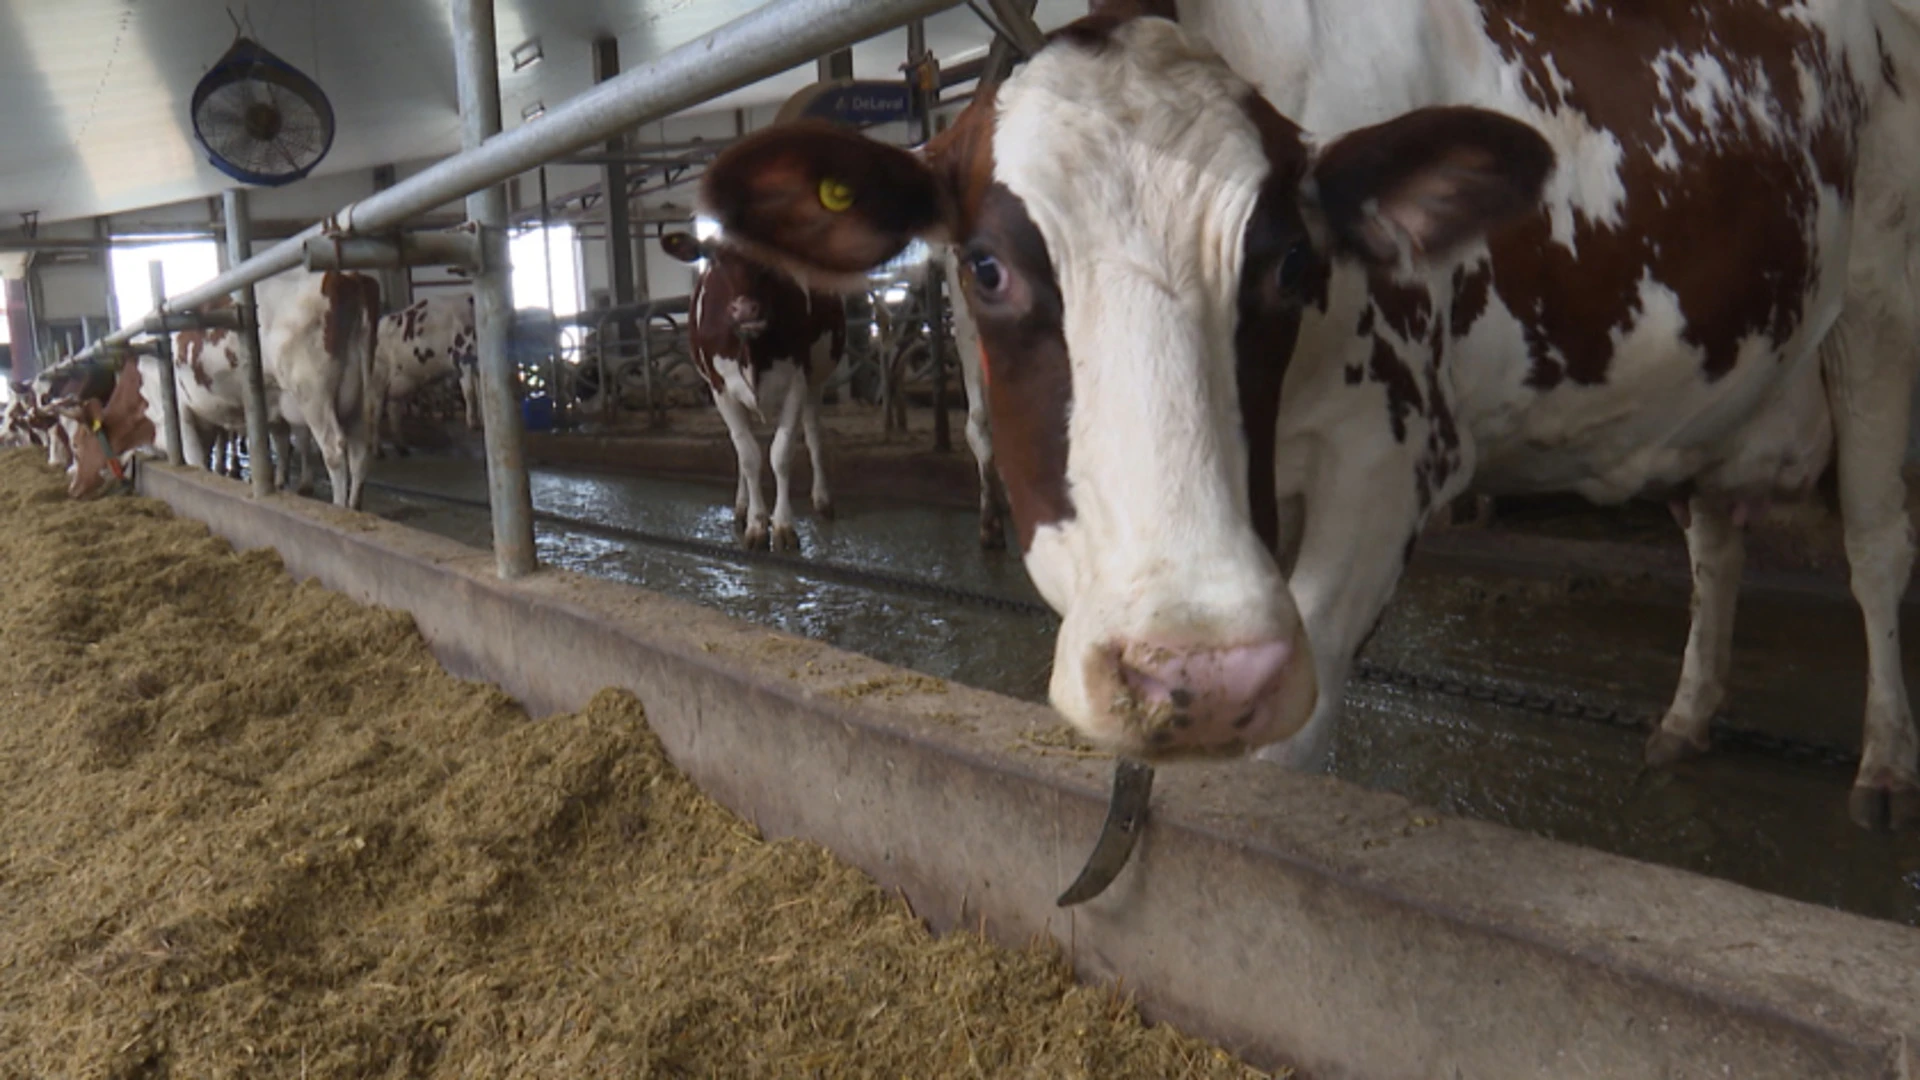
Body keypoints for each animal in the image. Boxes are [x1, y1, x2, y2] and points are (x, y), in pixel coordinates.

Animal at [664, 226, 844, 545]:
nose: (746, 309)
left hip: (816, 380)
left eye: (770, 257)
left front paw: (783, 527)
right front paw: (757, 525)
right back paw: (742, 507)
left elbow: (781, 454)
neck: (752, 350)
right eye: (712, 256)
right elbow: (748, 456)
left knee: (813, 435)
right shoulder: (721, 389)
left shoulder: (797, 381)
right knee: (742, 447)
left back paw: (823, 500)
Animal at [698, 0, 1920, 826]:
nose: (1195, 677)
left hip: (1877, 312)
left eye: (1292, 260)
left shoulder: (1394, 455)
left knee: (1874, 548)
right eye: (985, 267)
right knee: (1716, 543)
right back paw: (1687, 719)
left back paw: (1880, 764)